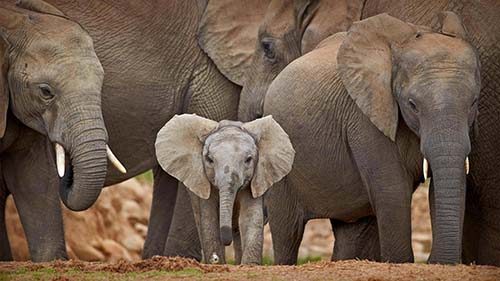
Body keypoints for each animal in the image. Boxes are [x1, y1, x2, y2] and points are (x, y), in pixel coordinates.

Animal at [156, 114, 294, 262]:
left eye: (248, 159)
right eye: (209, 159)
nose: (215, 258)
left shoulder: (255, 179)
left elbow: (250, 217)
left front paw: (249, 264)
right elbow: (209, 220)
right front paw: (217, 263)